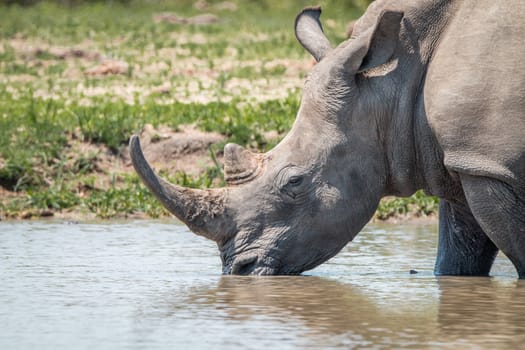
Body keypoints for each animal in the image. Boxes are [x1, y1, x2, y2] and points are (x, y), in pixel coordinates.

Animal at [130, 0, 524, 276]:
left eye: (295, 181)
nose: (238, 269)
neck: (395, 77)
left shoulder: (488, 164)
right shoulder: (468, 159)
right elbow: (457, 257)